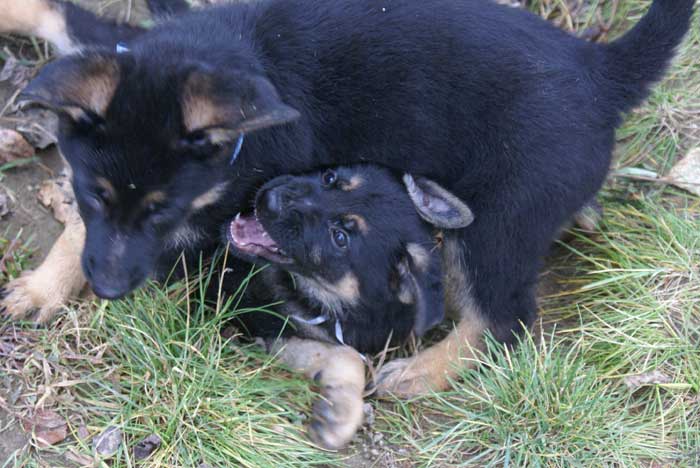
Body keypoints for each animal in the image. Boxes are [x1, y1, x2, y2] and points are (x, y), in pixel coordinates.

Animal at [0, 0, 696, 402]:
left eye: (163, 213)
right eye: (91, 193)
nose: (109, 290)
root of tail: (602, 74)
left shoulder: (208, 242)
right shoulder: (118, 51)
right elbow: (54, 14)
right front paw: (41, 289)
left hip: (496, 225)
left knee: (506, 321)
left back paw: (420, 373)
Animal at [230, 166, 476, 448]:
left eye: (340, 237)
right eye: (330, 177)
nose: (268, 198)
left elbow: (342, 352)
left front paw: (337, 412)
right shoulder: (250, 313)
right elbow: (347, 355)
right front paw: (340, 412)